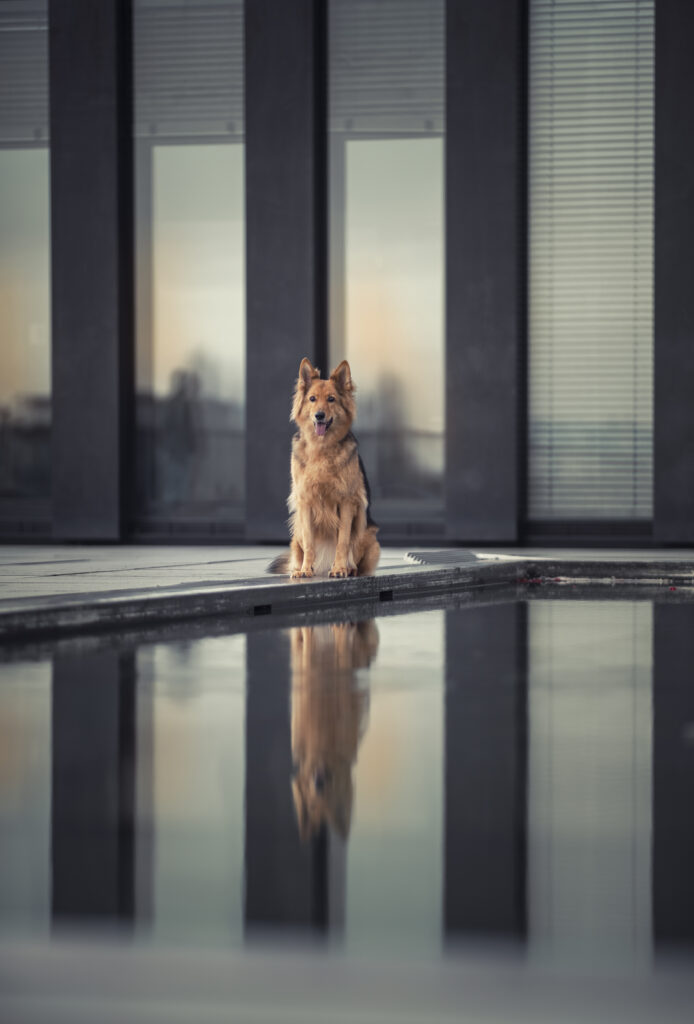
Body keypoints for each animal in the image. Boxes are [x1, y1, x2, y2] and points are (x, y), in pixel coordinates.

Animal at [268, 358, 382, 581]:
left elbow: (343, 542)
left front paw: (340, 568)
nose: (319, 416)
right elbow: (310, 544)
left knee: (356, 556)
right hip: (296, 532)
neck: (321, 448)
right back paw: (300, 568)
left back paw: (349, 568)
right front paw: (305, 570)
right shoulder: (305, 502)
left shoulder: (347, 502)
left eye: (331, 399)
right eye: (312, 399)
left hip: (368, 535)